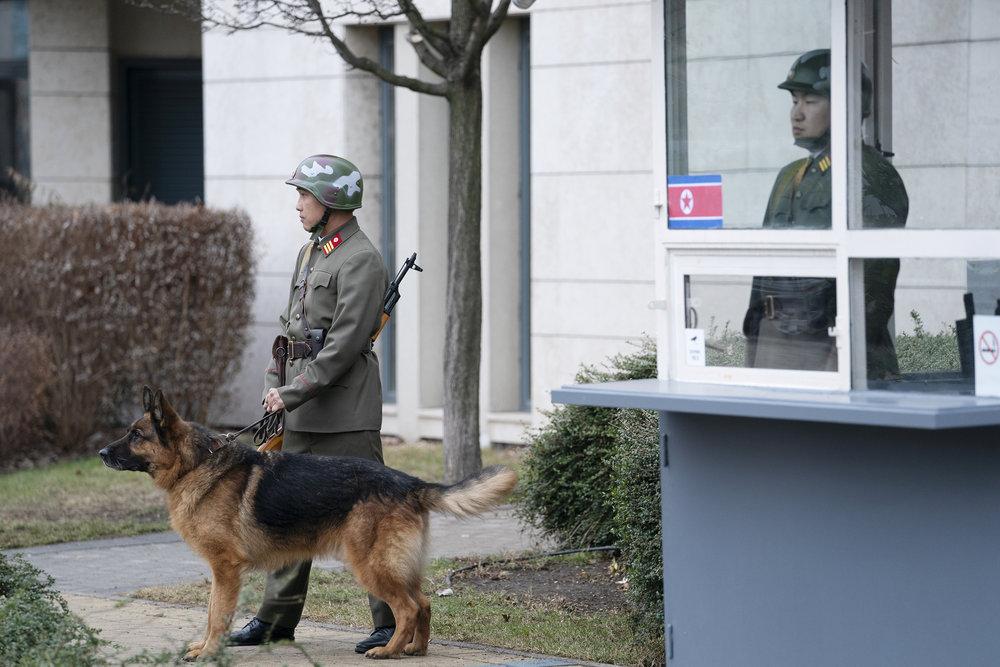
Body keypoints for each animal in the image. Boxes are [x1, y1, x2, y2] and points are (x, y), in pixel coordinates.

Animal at [100, 388, 520, 660]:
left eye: (136, 435)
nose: (101, 452)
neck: (196, 464)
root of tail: (410, 483)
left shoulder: (225, 570)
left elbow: (216, 616)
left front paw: (209, 653)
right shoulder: (223, 572)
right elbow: (209, 616)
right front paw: (205, 648)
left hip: (372, 566)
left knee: (407, 608)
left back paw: (389, 649)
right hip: (398, 565)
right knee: (424, 602)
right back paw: (416, 648)